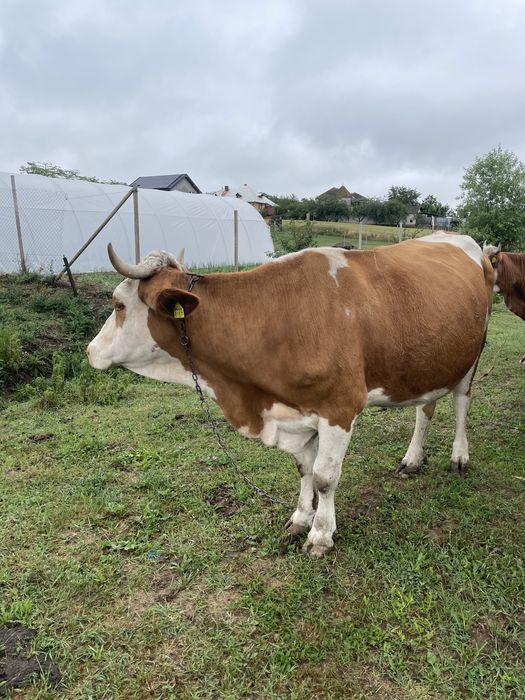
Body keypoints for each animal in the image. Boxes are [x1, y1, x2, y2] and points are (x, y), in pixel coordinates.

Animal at [87, 232, 494, 556]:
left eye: (118, 304)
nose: (90, 351)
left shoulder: (339, 408)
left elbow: (325, 476)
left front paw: (321, 535)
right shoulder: (297, 410)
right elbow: (304, 468)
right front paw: (301, 517)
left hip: (471, 355)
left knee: (461, 403)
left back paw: (459, 456)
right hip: (432, 360)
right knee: (425, 408)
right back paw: (412, 458)